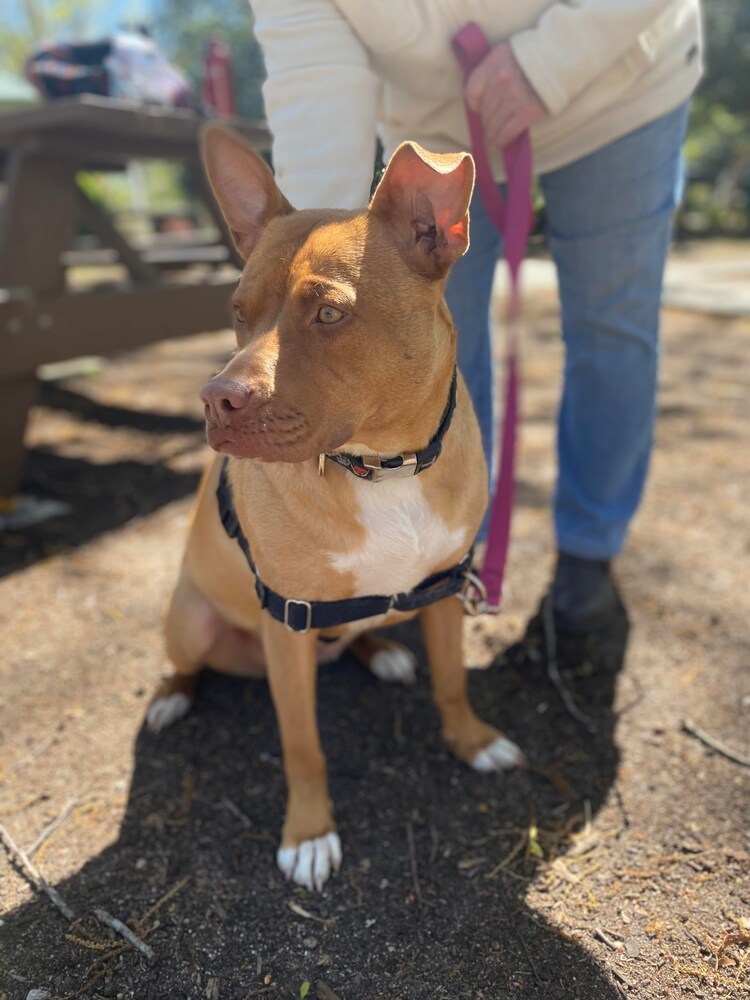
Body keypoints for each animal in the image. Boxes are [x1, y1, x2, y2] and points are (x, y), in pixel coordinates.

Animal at [147, 127, 524, 892]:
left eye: (328, 313)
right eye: (237, 313)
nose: (216, 399)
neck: (384, 466)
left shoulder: (445, 591)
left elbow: (451, 683)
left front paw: (471, 742)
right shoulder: (288, 623)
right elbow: (303, 746)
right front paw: (309, 833)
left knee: (363, 630)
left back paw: (383, 652)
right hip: (193, 623)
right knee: (187, 660)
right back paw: (172, 693)